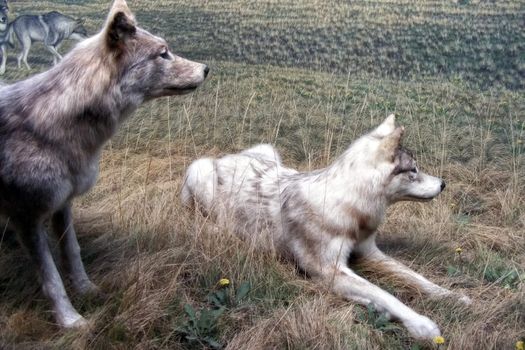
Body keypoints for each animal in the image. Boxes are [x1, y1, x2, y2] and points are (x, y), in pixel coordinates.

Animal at [0, 0, 209, 328]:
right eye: (163, 53)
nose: (206, 69)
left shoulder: (63, 204)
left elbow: (72, 252)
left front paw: (88, 290)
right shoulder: (27, 218)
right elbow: (52, 278)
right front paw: (71, 321)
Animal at [181, 116, 470, 340]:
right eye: (414, 170)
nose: (443, 184)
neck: (350, 208)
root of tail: (228, 156)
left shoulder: (370, 253)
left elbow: (416, 278)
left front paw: (454, 296)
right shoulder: (329, 270)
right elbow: (385, 294)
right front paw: (422, 325)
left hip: (270, 151)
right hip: (200, 172)